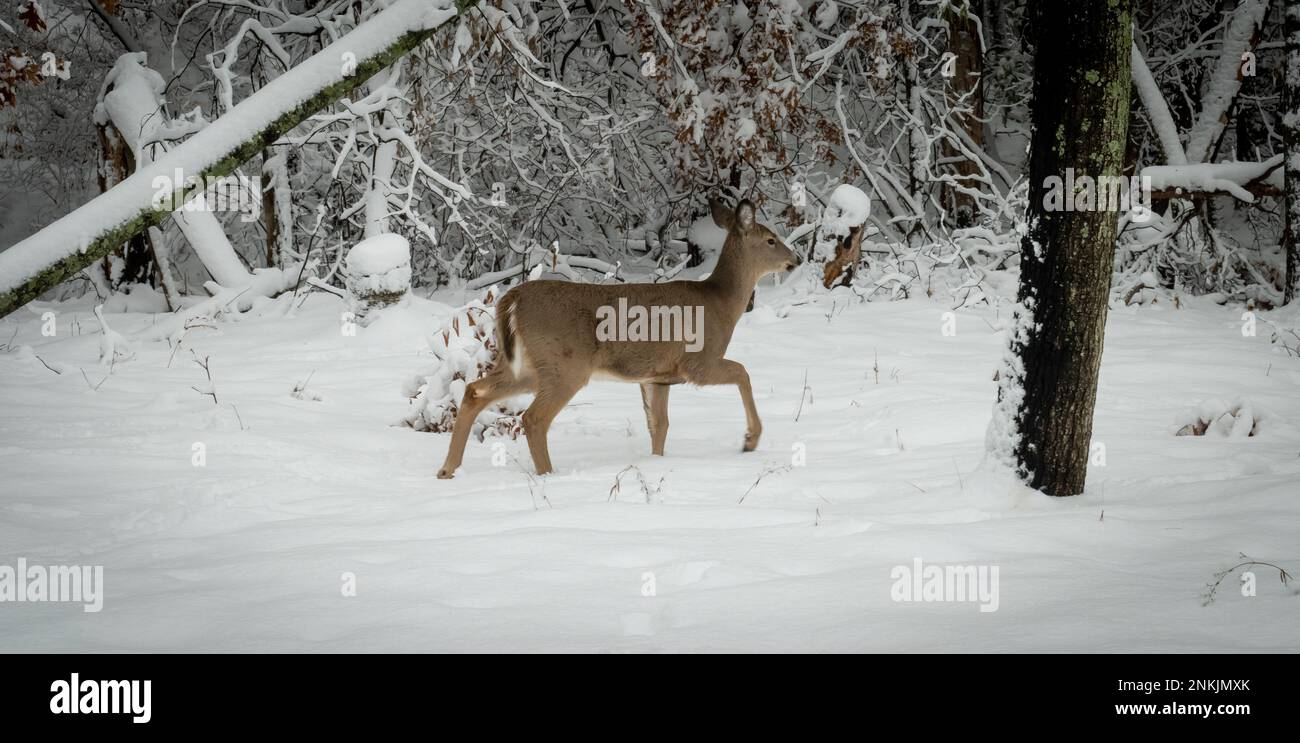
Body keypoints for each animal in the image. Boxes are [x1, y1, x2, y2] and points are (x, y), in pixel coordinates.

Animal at [439, 197, 800, 478]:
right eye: (771, 239)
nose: (795, 259)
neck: (721, 302)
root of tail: (512, 300)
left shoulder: (658, 377)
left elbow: (659, 425)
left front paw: (656, 462)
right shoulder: (697, 361)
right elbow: (743, 372)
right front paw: (750, 439)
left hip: (524, 364)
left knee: (474, 391)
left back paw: (447, 470)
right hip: (565, 364)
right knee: (533, 417)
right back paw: (549, 475)